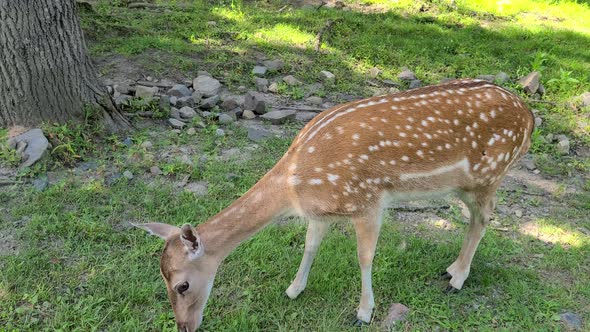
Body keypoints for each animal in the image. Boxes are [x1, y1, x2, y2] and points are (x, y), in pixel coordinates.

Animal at [138, 79, 536, 330]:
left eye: (182, 286)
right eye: (162, 278)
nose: (184, 327)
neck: (295, 185)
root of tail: (530, 117)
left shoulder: (368, 201)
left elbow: (364, 257)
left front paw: (364, 312)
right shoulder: (321, 213)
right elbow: (310, 246)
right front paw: (294, 289)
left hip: (489, 175)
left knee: (483, 219)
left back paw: (457, 278)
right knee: (476, 220)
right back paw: (451, 269)